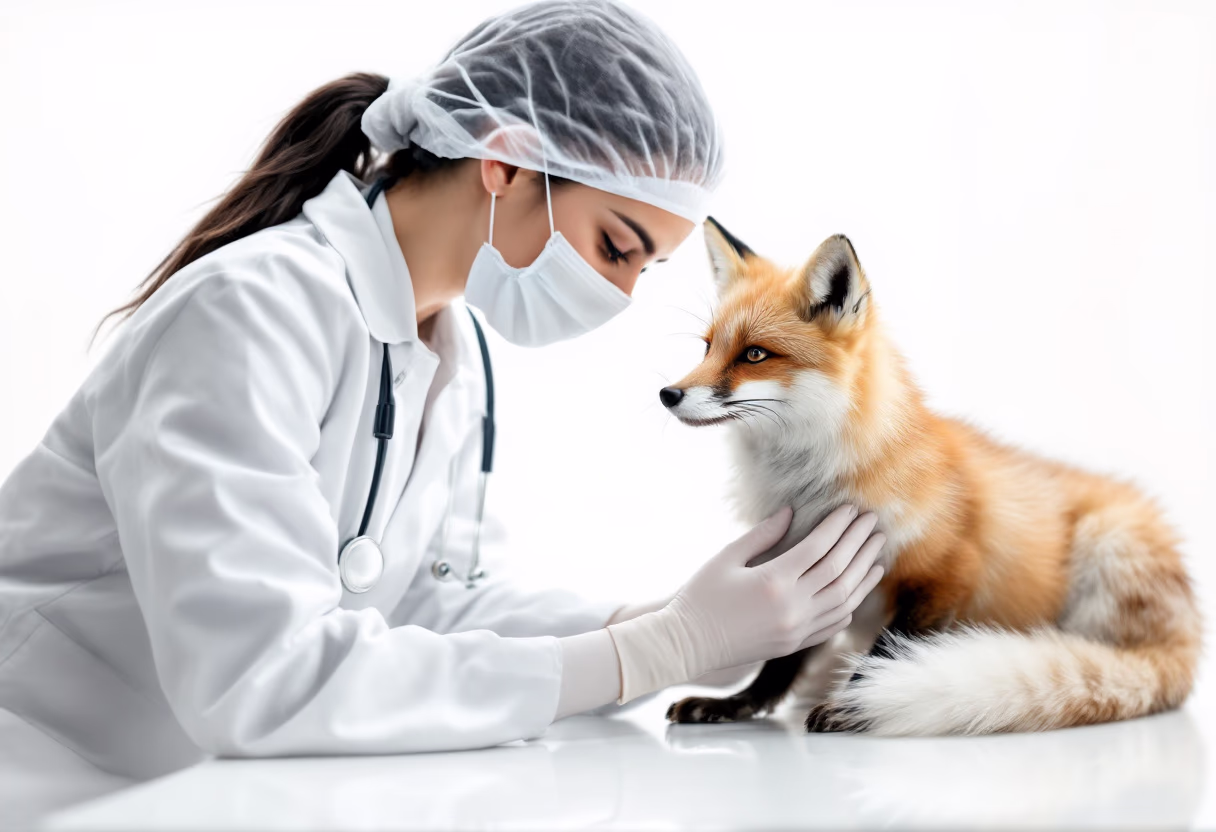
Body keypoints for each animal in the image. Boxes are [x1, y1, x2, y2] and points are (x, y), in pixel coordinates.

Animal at [659, 218, 1202, 735]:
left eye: (754, 354)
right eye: (707, 348)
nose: (667, 394)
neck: (816, 489)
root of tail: (1189, 638)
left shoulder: (948, 570)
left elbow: (886, 651)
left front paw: (853, 707)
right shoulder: (812, 580)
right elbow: (781, 658)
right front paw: (738, 703)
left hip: (1106, 542)